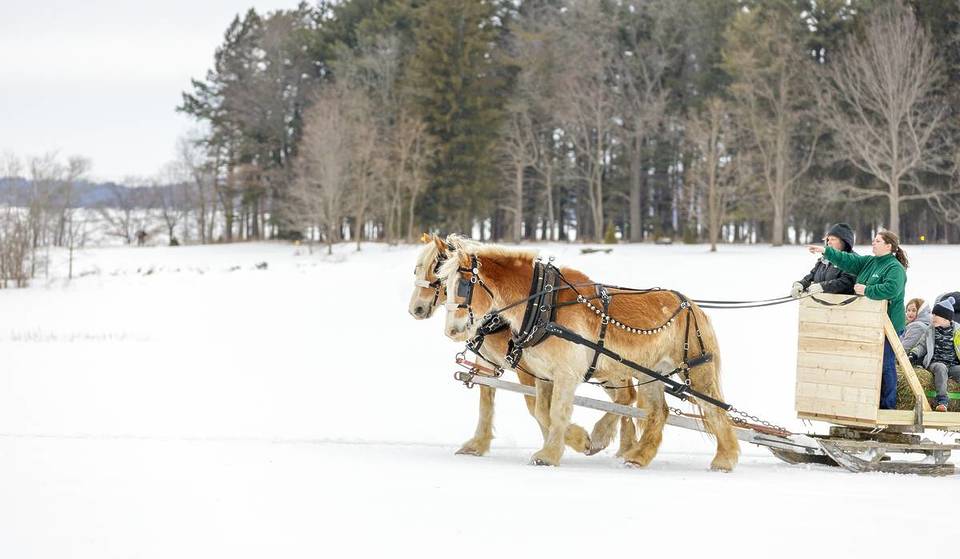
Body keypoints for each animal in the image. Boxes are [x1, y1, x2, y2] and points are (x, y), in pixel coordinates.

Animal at [408, 234, 636, 456]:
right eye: (417, 269)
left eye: (436, 270)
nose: (415, 309)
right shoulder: (488, 363)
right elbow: (486, 400)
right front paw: (477, 444)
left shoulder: (528, 368)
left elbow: (537, 407)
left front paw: (573, 441)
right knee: (627, 398)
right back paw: (627, 447)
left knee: (627, 396)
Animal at [439, 240, 739, 471]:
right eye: (443, 285)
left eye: (463, 285)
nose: (452, 331)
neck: (544, 304)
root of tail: (694, 307)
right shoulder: (543, 375)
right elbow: (542, 410)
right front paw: (577, 440)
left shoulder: (566, 374)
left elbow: (557, 411)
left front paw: (553, 454)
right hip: (651, 372)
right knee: (657, 412)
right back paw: (638, 456)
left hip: (696, 367)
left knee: (714, 408)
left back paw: (725, 459)